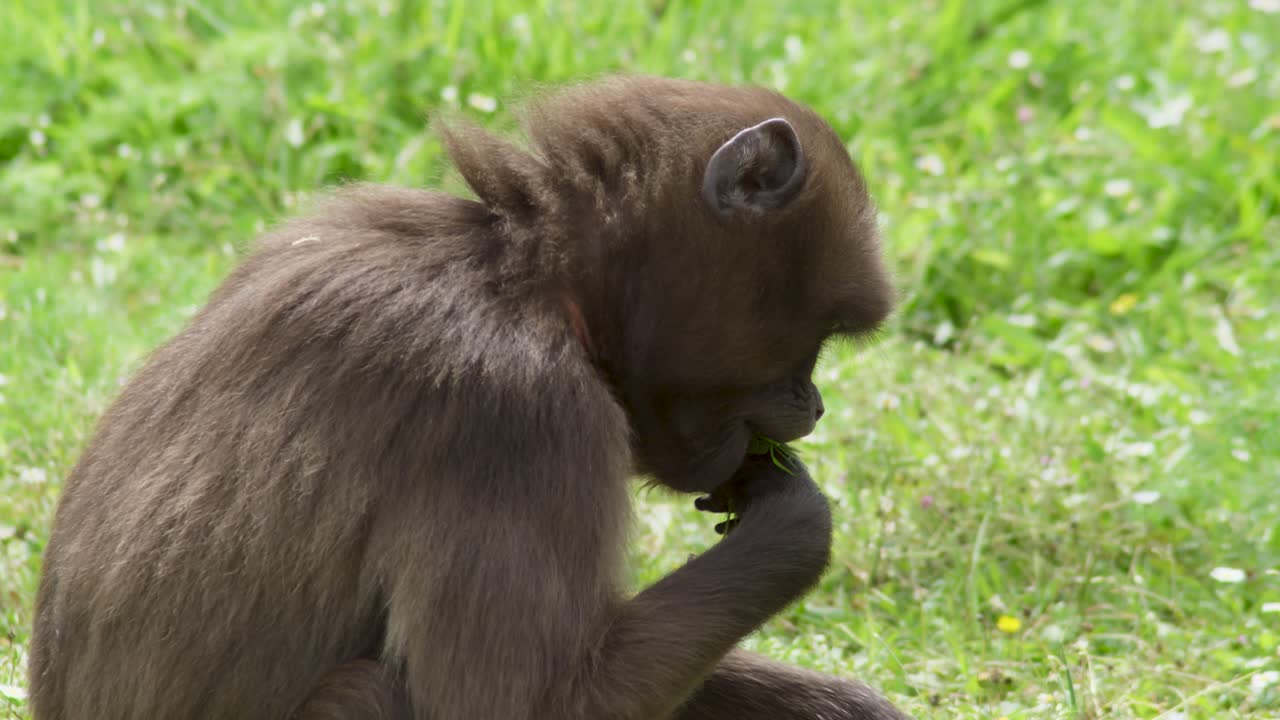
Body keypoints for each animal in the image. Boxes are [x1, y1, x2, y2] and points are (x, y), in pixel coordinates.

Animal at [28, 76, 908, 720]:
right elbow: (517, 703)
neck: (527, 272)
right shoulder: (516, 411)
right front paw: (794, 518)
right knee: (371, 691)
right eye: (822, 334)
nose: (815, 406)